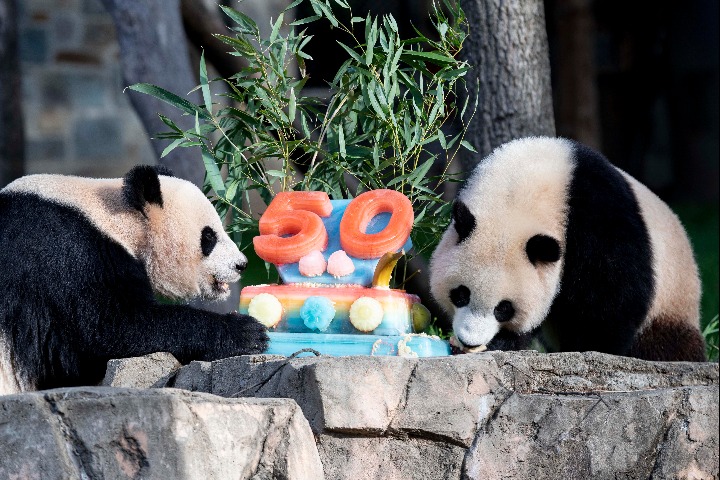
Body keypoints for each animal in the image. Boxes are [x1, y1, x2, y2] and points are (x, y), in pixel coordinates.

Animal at [430, 137, 704, 362]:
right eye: (461, 294)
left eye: (504, 308)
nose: (469, 340)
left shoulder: (599, 217)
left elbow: (613, 295)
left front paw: (590, 349)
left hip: (671, 301)